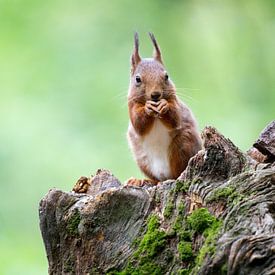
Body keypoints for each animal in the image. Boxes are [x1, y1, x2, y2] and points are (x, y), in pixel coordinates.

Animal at [127, 33, 203, 188]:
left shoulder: (176, 103)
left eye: (166, 76)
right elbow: (139, 124)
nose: (156, 95)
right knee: (157, 180)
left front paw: (164, 106)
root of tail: (164, 176)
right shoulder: (131, 106)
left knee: (176, 174)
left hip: (182, 145)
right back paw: (142, 180)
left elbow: (175, 118)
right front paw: (147, 109)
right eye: (137, 79)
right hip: (142, 159)